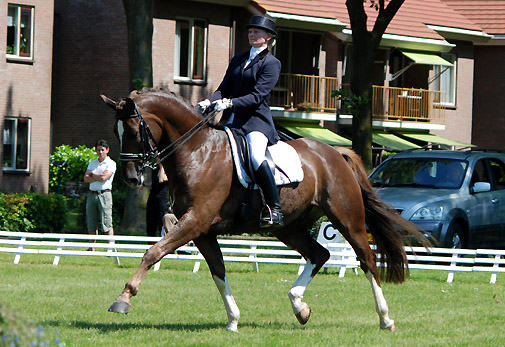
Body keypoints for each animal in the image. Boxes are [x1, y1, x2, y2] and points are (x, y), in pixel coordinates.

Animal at [101, 88, 426, 334]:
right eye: (117, 131)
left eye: (133, 130)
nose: (130, 179)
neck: (196, 151)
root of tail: (335, 152)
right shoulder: (202, 230)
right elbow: (218, 272)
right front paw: (233, 320)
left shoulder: (194, 222)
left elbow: (153, 252)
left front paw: (123, 298)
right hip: (288, 227)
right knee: (319, 254)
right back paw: (299, 306)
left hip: (347, 219)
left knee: (367, 259)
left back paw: (385, 319)